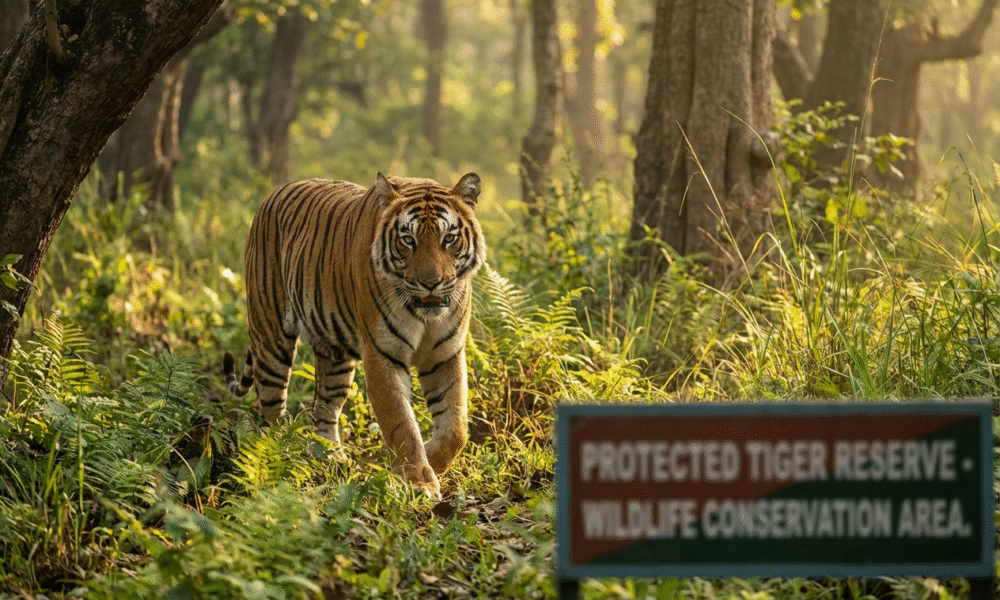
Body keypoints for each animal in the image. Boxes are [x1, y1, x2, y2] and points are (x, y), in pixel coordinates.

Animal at [223, 172, 486, 498]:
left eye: (448, 238)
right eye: (408, 240)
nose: (431, 283)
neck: (426, 315)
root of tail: (274, 193)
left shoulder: (444, 354)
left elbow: (456, 427)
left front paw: (431, 463)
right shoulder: (382, 354)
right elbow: (400, 422)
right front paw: (418, 481)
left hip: (336, 357)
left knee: (324, 409)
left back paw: (331, 456)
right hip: (271, 338)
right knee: (269, 410)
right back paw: (276, 460)